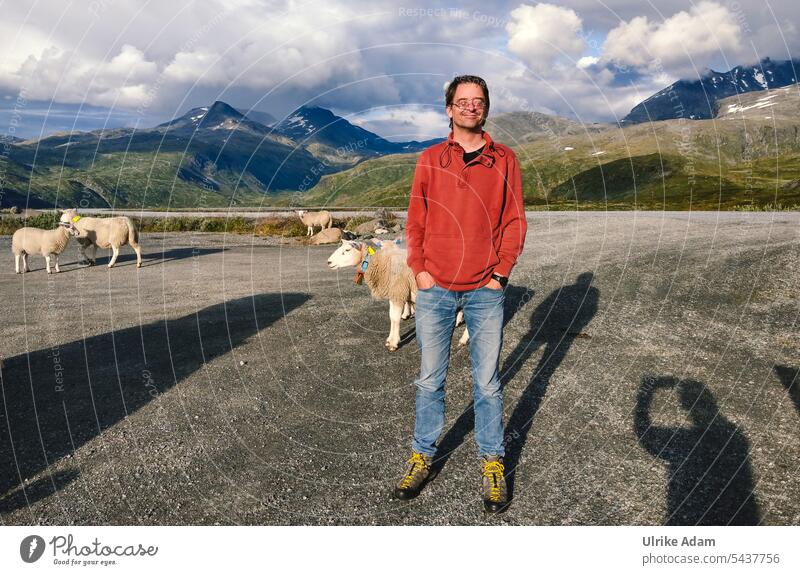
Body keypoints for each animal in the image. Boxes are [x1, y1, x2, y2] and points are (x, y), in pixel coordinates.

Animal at [326, 238, 468, 352]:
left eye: (347, 250)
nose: (328, 262)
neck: (381, 262)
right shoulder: (394, 293)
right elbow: (391, 316)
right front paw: (390, 338)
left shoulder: (398, 292)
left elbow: (395, 318)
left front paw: (393, 343)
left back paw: (463, 339)